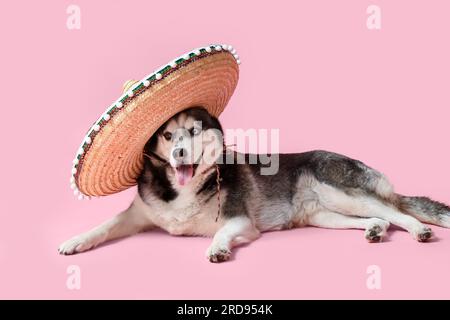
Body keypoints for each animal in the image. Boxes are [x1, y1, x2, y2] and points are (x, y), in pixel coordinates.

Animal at [59, 107, 450, 262]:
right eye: (168, 135)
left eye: (195, 131)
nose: (179, 153)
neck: (183, 187)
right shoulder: (137, 214)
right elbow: (105, 225)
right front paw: (76, 240)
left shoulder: (240, 221)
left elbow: (221, 232)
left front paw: (218, 249)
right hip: (324, 216)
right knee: (381, 218)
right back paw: (374, 230)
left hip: (343, 191)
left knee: (396, 212)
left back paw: (419, 231)